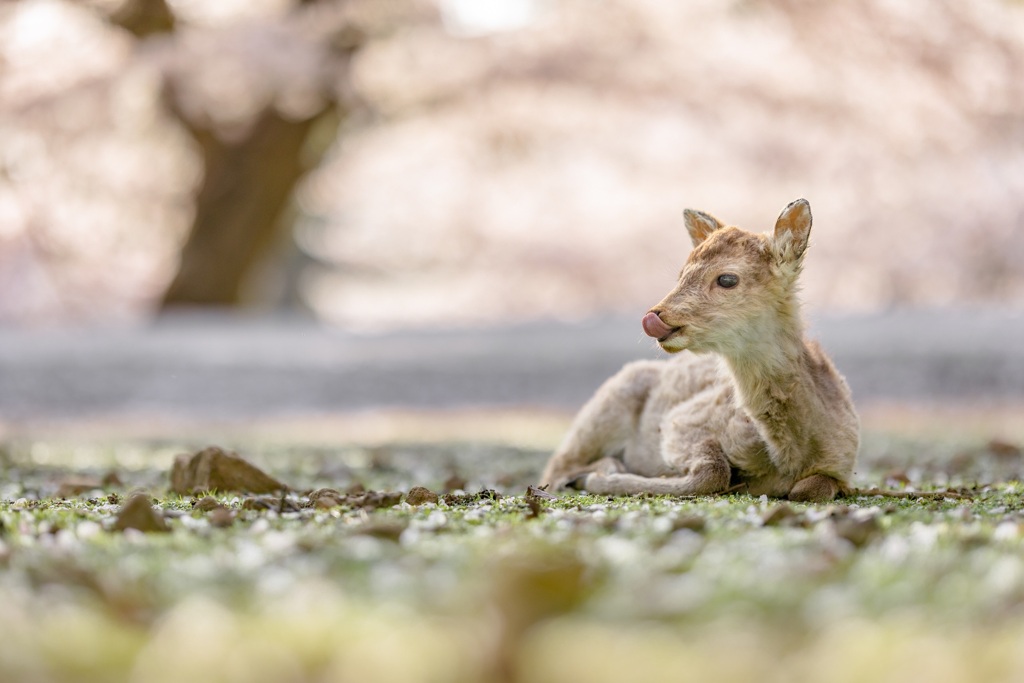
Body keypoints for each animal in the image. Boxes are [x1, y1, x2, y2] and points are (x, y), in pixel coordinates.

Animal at [540, 197, 860, 501]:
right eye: (681, 273)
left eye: (727, 279)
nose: (655, 315)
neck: (791, 455)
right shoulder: (682, 421)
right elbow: (713, 473)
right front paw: (607, 479)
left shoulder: (840, 469)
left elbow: (811, 488)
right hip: (607, 402)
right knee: (556, 467)